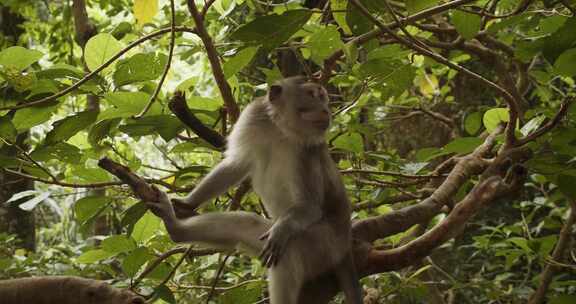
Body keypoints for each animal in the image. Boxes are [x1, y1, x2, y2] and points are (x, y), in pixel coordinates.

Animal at [146, 76, 362, 304]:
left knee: (289, 250)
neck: (281, 129)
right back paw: (175, 228)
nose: (326, 111)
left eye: (323, 98)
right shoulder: (253, 117)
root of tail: (345, 246)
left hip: (325, 247)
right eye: (314, 95)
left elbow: (309, 206)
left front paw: (282, 230)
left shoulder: (308, 150)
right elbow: (236, 164)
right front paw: (188, 202)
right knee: (245, 223)